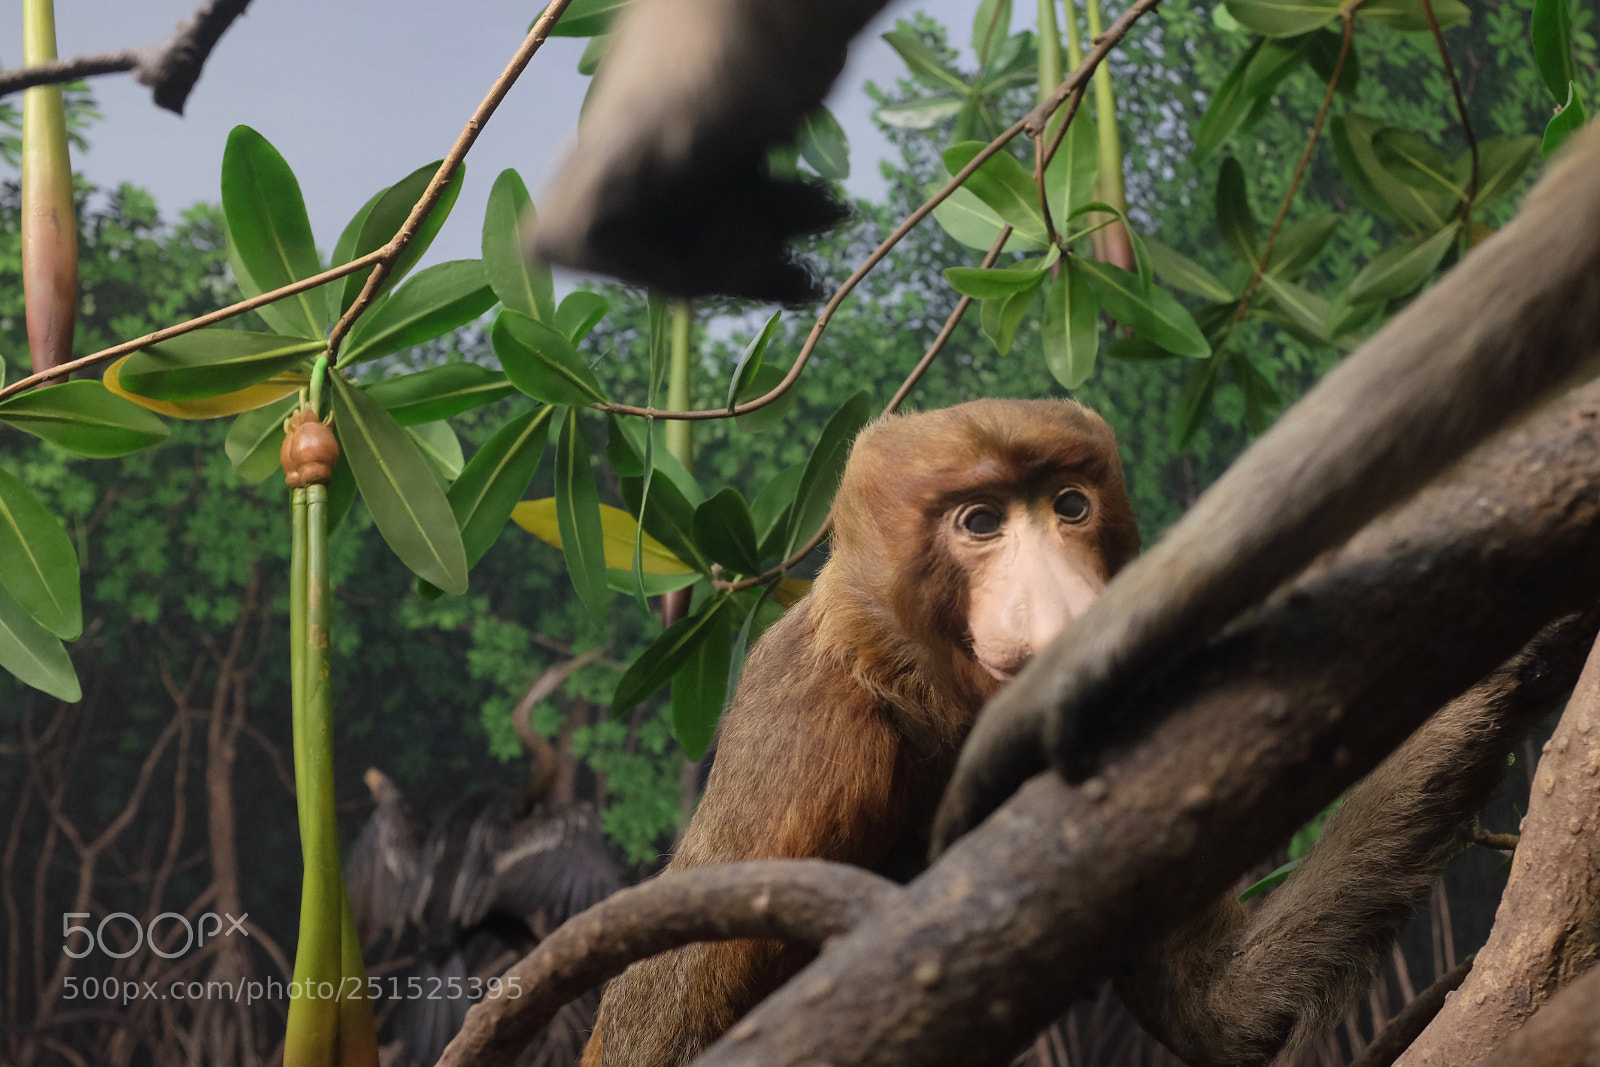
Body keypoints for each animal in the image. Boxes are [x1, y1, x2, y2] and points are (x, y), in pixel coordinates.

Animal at [579, 397, 1141, 1065]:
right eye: (981, 521)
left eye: (1071, 505)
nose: (1063, 604)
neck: (907, 672)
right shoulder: (815, 732)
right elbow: (655, 1012)